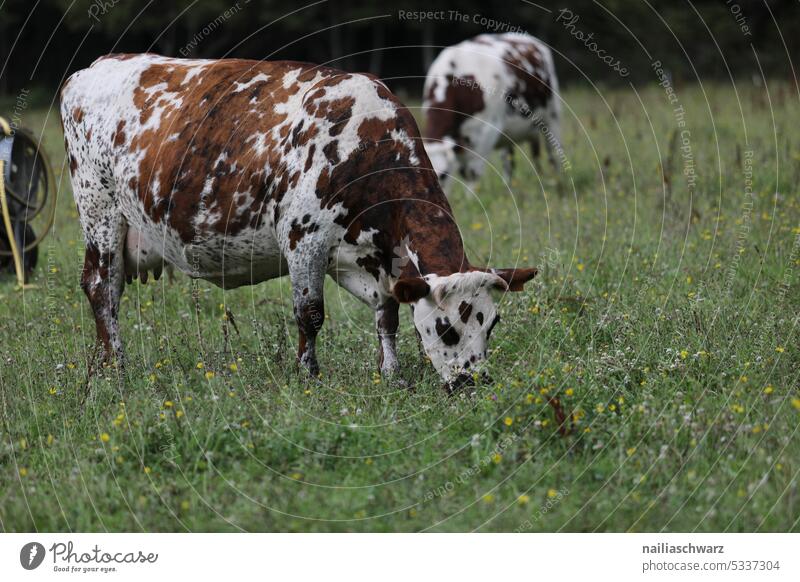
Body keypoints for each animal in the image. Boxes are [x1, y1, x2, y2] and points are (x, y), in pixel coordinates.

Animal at [61, 54, 536, 392]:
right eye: (446, 329)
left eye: (492, 323)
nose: (474, 383)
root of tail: (95, 67)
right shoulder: (304, 240)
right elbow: (310, 315)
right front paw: (309, 375)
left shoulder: (370, 258)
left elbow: (387, 314)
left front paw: (391, 373)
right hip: (99, 209)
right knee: (102, 287)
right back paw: (115, 367)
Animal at [422, 33, 560, 194]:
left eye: (443, 174)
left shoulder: (487, 132)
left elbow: (472, 173)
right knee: (510, 161)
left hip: (553, 116)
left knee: (554, 154)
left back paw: (559, 182)